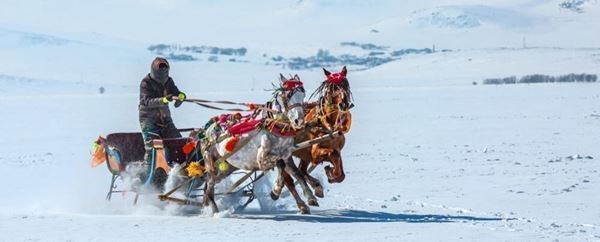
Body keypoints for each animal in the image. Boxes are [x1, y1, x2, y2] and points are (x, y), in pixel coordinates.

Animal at [270, 65, 352, 201]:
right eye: (331, 87)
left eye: (346, 84)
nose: (343, 104)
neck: (329, 126)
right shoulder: (315, 153)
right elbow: (333, 154)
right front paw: (330, 172)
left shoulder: (336, 149)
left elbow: (341, 175)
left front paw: (331, 174)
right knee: (289, 178)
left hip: (303, 156)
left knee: (301, 171)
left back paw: (315, 188)